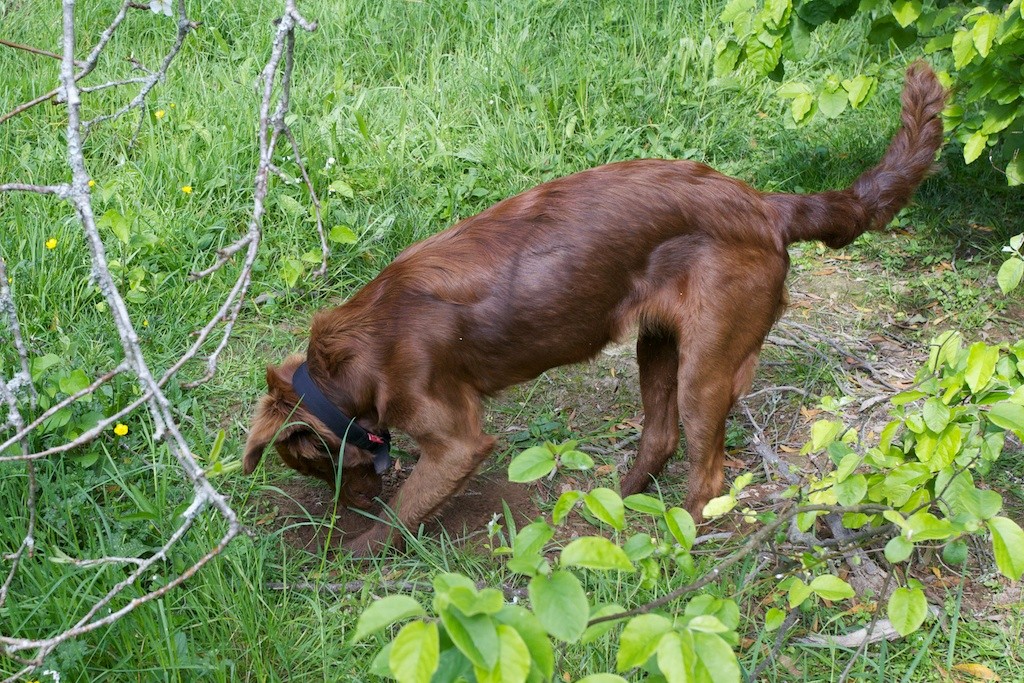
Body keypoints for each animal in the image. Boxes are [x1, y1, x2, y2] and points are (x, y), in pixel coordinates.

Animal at [243, 62, 946, 557]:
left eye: (311, 465)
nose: (348, 509)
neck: (355, 355)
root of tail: (767, 206)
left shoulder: (457, 441)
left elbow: (404, 511)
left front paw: (352, 553)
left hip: (707, 361)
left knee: (709, 472)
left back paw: (676, 542)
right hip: (657, 342)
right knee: (661, 436)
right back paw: (616, 503)